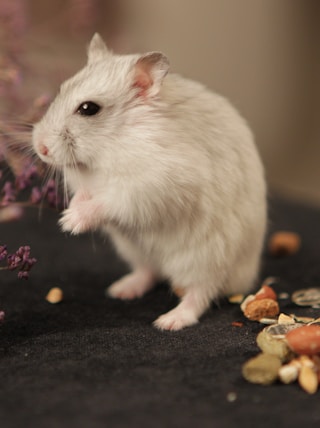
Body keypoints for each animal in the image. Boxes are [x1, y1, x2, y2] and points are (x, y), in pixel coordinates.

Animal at [32, 33, 268, 332]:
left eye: (88, 109)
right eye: (61, 89)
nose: (40, 147)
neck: (108, 146)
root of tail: (245, 277)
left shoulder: (151, 186)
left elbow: (107, 202)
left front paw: (69, 223)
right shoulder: (88, 185)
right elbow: (84, 196)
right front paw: (68, 215)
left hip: (206, 259)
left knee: (200, 294)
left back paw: (168, 321)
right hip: (136, 251)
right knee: (149, 272)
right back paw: (120, 290)